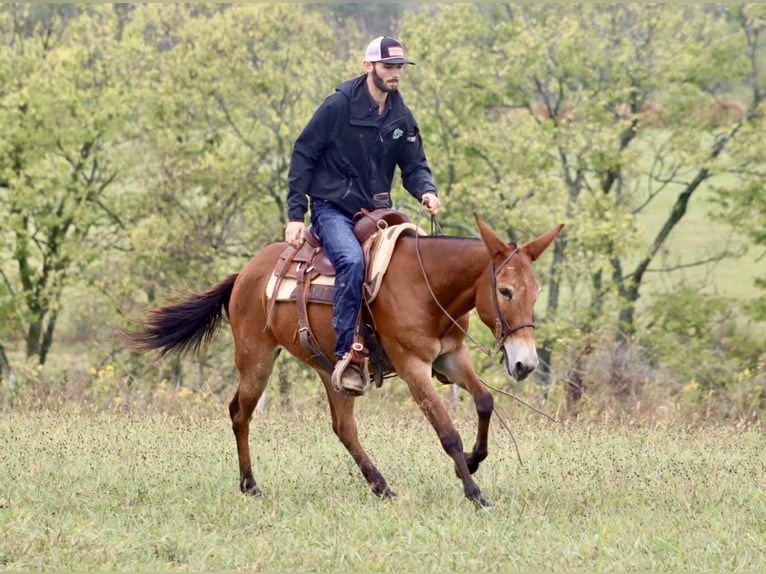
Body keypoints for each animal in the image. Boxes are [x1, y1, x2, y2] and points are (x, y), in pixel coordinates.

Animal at [126, 214, 563, 508]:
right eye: (505, 290)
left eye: (537, 290)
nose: (525, 364)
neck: (427, 286)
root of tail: (246, 274)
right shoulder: (413, 367)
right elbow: (447, 431)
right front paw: (474, 492)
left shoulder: (452, 357)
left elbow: (485, 402)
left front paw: (470, 463)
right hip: (256, 360)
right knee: (240, 413)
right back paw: (250, 485)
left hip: (331, 370)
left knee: (343, 428)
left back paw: (381, 486)